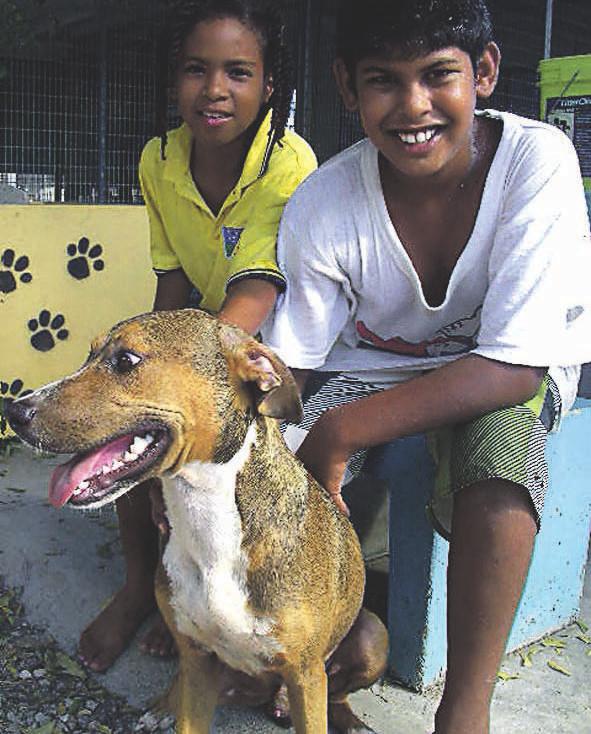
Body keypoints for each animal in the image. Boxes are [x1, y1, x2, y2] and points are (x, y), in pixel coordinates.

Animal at [9, 310, 390, 734]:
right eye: (88, 354)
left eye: (126, 360)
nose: (14, 412)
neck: (207, 518)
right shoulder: (199, 660)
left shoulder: (306, 676)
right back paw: (163, 706)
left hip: (371, 637)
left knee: (336, 692)